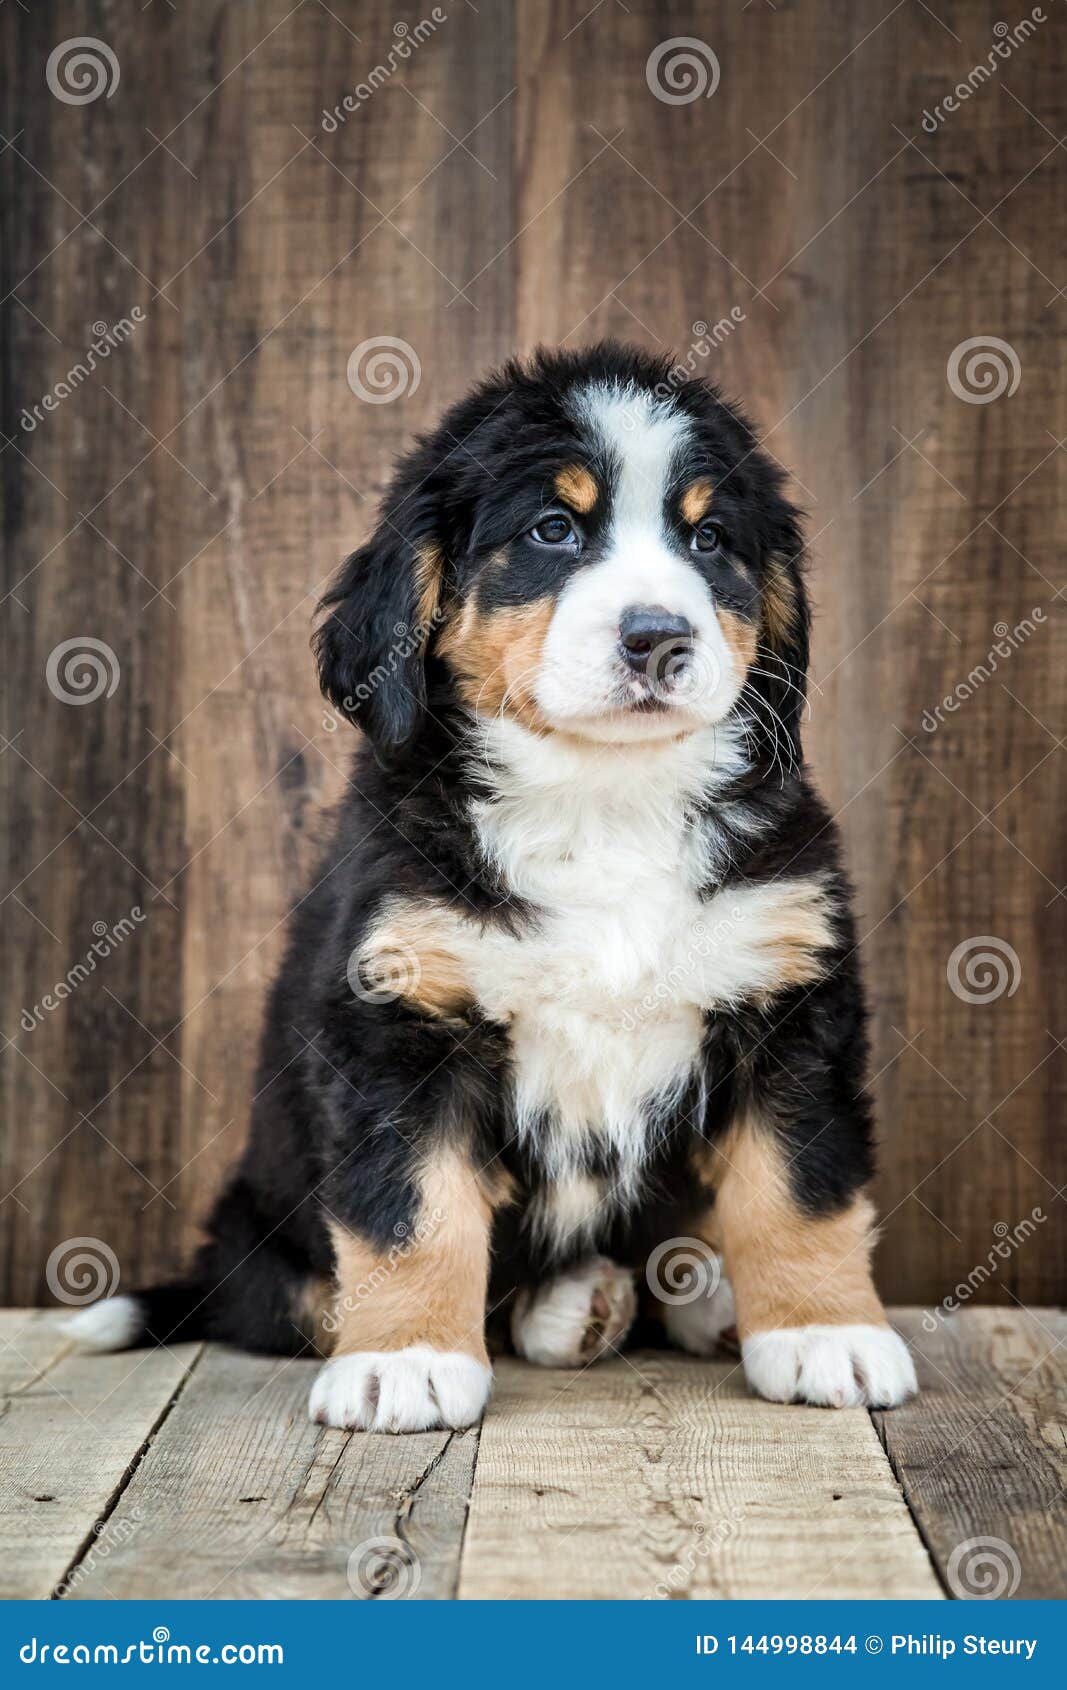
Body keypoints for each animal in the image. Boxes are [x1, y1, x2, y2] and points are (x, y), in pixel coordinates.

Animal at [66, 339, 919, 1426]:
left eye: (708, 538)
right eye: (553, 529)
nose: (657, 636)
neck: (602, 799)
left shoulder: (789, 1002)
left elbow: (800, 1187)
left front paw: (823, 1334)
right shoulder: (398, 1019)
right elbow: (411, 1211)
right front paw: (406, 1361)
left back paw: (682, 1299)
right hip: (262, 1229)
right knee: (312, 1297)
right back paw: (571, 1306)